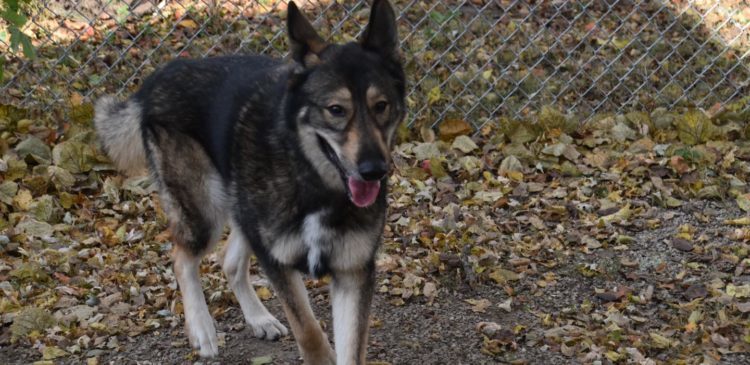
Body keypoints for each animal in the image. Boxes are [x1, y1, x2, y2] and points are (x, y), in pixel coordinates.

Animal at [94, 1, 406, 362]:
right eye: (336, 110)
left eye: (381, 106)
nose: (374, 170)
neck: (311, 182)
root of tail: (157, 78)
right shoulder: (277, 262)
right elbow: (309, 333)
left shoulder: (353, 273)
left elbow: (351, 350)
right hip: (204, 213)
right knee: (182, 259)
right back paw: (202, 329)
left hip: (241, 207)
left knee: (228, 261)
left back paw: (259, 319)